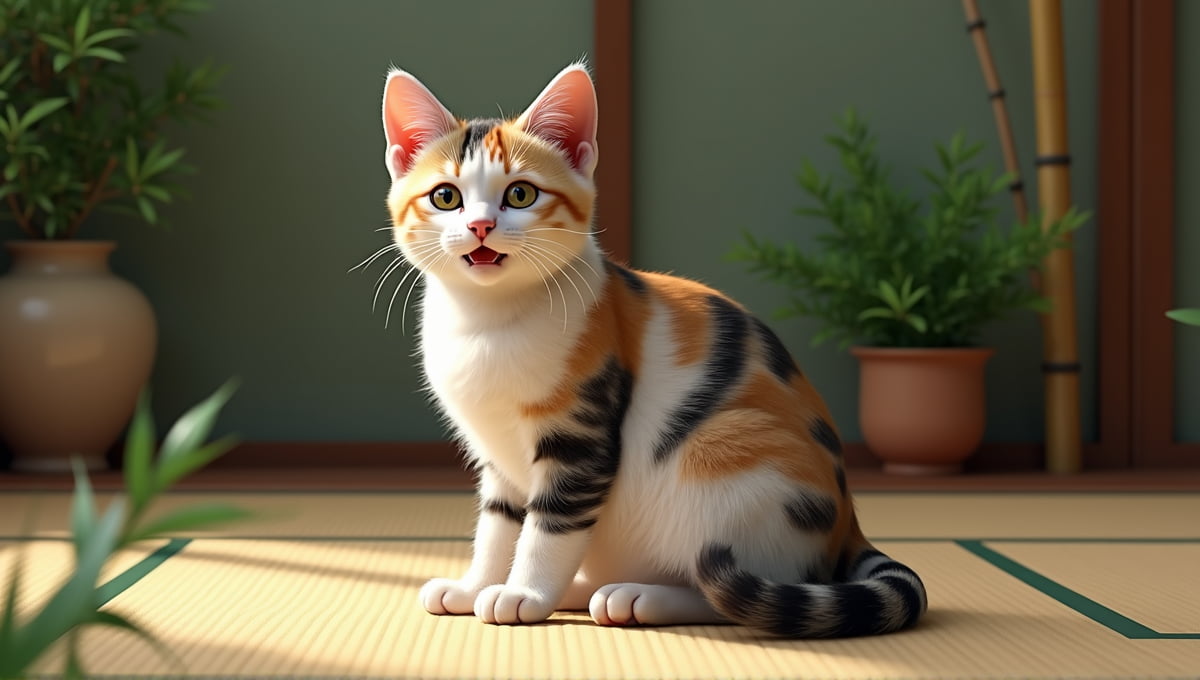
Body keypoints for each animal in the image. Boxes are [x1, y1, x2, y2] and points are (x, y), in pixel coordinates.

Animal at [379, 62, 921, 638]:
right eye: (446, 198)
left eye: (521, 195)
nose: (480, 225)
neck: (487, 321)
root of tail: (848, 524)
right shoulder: (497, 456)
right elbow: (498, 526)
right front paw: (476, 586)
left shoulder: (581, 438)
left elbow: (551, 527)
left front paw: (524, 594)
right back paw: (583, 589)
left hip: (732, 462)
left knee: (731, 588)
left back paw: (637, 597)